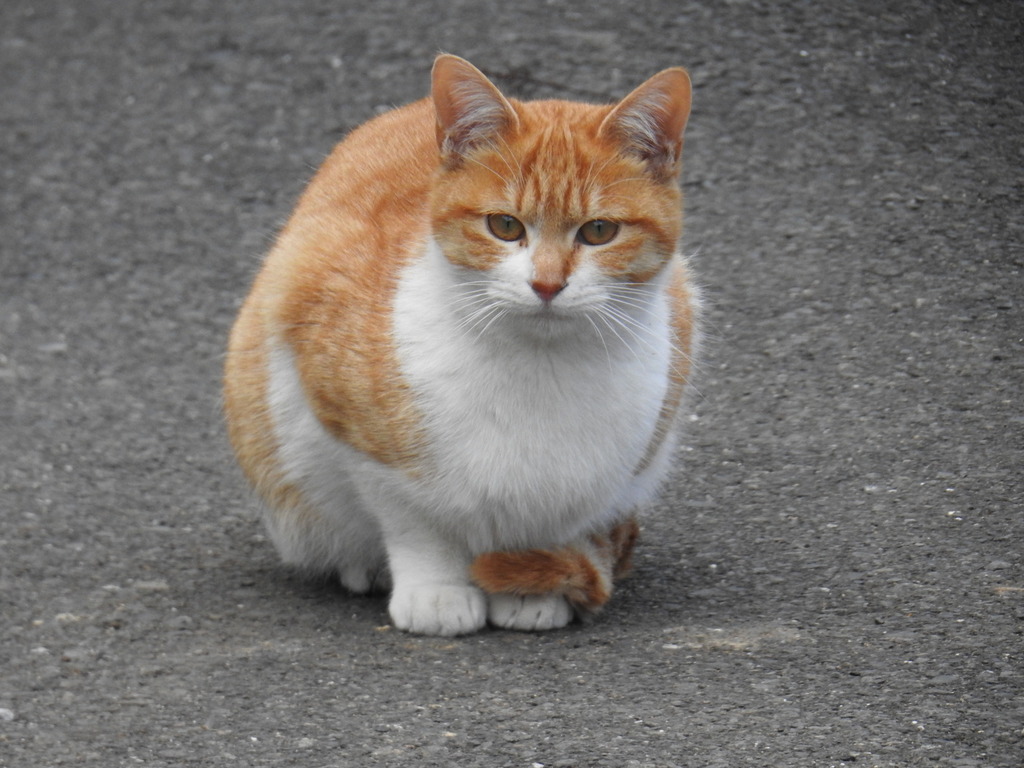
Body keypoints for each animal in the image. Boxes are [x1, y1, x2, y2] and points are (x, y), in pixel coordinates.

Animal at [225, 54, 700, 638]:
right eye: (504, 226)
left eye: (598, 232)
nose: (546, 284)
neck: (538, 367)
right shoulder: (362, 439)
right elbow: (415, 524)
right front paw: (437, 591)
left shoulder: (592, 474)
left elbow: (552, 518)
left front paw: (529, 585)